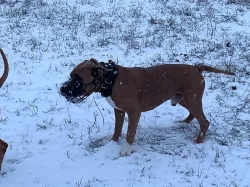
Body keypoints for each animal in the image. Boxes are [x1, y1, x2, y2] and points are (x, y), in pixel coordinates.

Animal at [60, 58, 234, 155]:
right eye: (71, 76)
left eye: (78, 79)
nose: (62, 89)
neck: (111, 79)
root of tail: (196, 67)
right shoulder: (118, 111)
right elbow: (117, 129)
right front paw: (113, 142)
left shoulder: (134, 112)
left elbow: (129, 133)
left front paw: (126, 149)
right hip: (185, 99)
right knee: (194, 115)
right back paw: (185, 123)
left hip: (192, 99)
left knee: (204, 121)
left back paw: (199, 140)